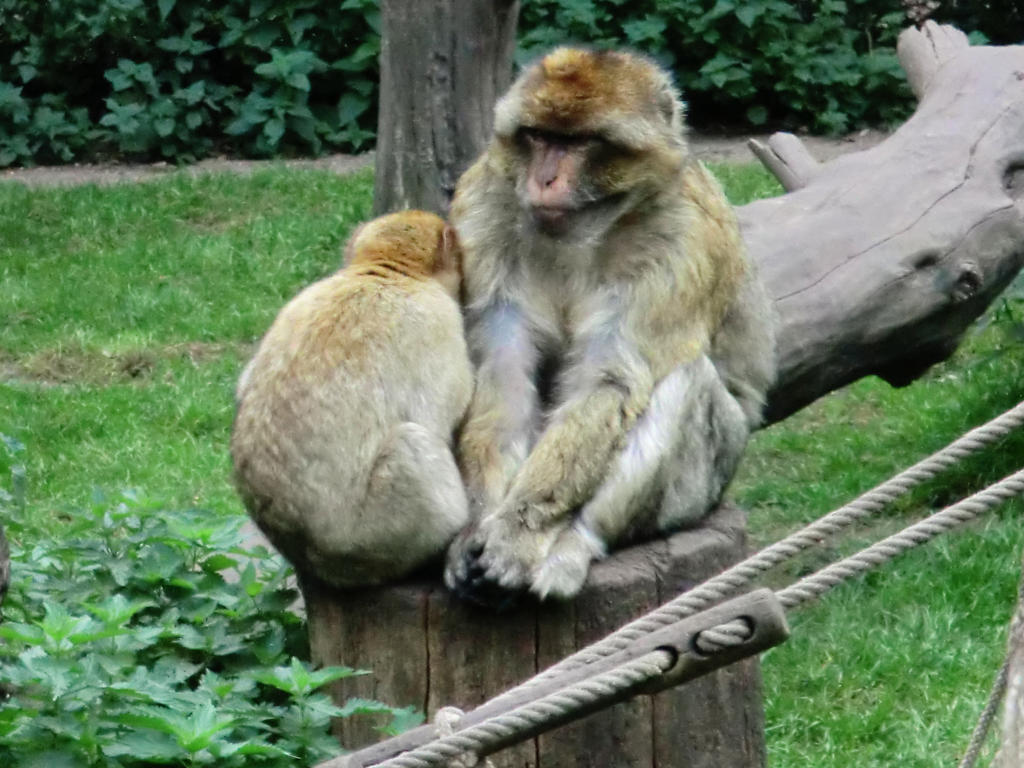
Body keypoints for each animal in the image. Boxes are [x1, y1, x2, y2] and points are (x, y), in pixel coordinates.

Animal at [444, 48, 776, 604]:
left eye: (578, 143)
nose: (544, 179)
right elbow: (502, 371)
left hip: (709, 480)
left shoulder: (681, 239)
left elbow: (612, 380)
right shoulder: (482, 209)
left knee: (685, 381)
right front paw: (477, 527)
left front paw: (517, 533)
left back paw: (576, 542)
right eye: (538, 136)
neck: (587, 229)